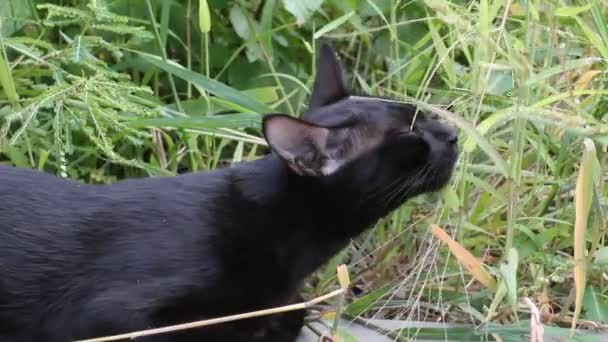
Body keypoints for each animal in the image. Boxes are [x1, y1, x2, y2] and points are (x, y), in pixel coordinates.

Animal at [0, 45, 456, 342]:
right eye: (410, 135)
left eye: (423, 116)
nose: (451, 133)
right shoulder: (112, 318)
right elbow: (227, 328)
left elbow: (292, 310)